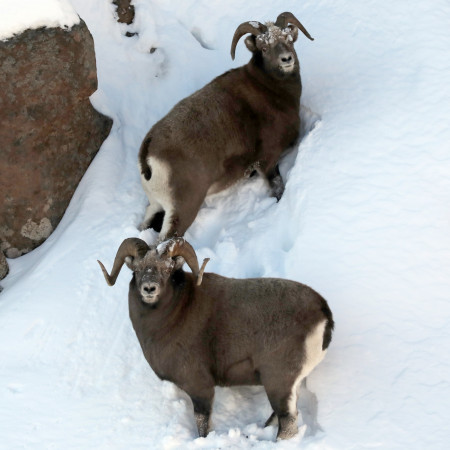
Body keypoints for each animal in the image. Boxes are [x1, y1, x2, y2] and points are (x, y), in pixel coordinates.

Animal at [98, 237, 334, 442]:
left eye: (166, 269)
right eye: (137, 269)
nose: (149, 289)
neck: (175, 314)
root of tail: (323, 313)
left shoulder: (199, 386)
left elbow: (202, 423)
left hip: (279, 382)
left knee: (288, 423)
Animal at [139, 12, 314, 241]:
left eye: (289, 40)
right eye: (264, 48)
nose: (286, 60)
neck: (272, 91)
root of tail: (148, 157)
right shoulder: (267, 161)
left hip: (156, 206)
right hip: (183, 211)